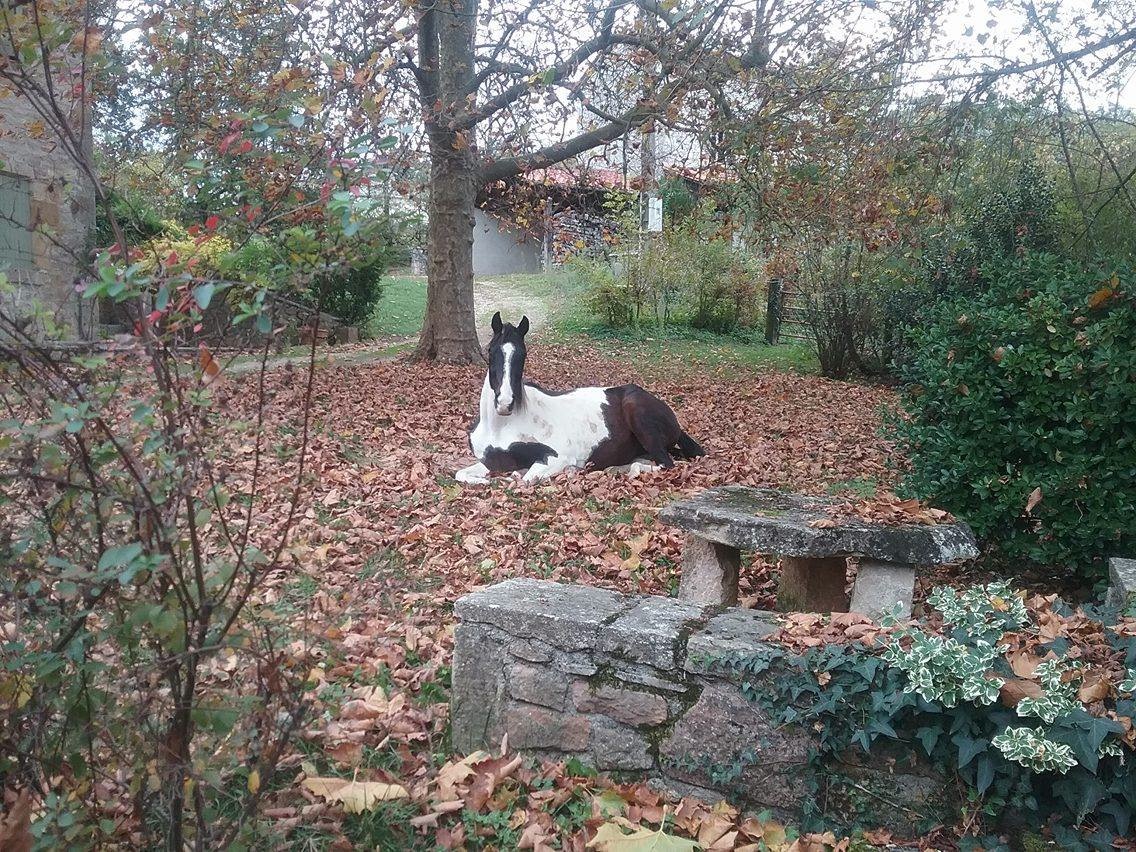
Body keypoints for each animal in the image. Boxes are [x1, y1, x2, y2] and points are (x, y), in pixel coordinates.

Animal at [455, 312, 704, 484]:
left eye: (523, 355)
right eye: (491, 351)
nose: (505, 403)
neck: (501, 426)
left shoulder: (556, 458)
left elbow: (525, 479)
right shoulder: (490, 460)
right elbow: (462, 473)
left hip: (640, 419)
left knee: (665, 464)